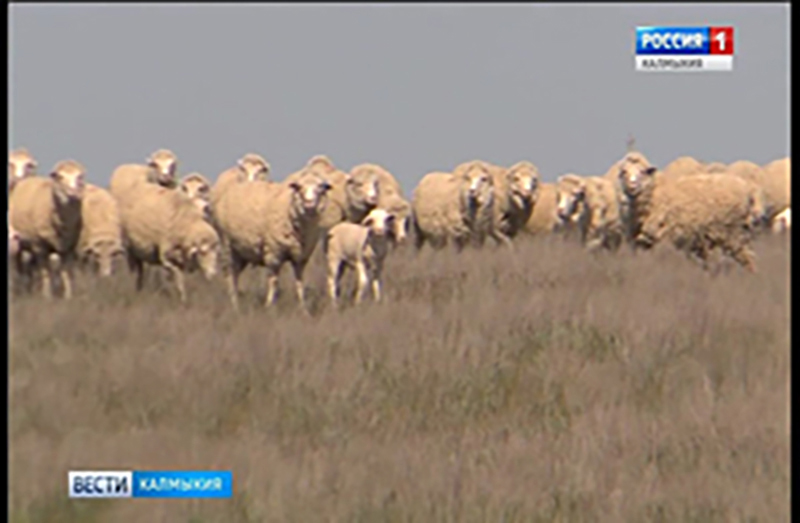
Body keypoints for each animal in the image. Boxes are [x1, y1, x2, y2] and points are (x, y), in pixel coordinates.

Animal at [8, 160, 86, 298]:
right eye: (60, 177)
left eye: (79, 176)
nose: (73, 193)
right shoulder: (40, 247)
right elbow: (46, 272)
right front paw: (47, 296)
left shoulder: (68, 248)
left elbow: (66, 272)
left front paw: (68, 296)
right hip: (19, 244)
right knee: (20, 267)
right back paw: (22, 289)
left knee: (31, 268)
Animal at [212, 170, 332, 314]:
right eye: (299, 187)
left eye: (320, 189)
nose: (309, 204)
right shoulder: (273, 253)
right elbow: (274, 281)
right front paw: (270, 307)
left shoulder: (301, 257)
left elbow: (299, 282)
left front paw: (304, 310)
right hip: (227, 245)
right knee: (230, 275)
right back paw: (234, 305)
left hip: (242, 252)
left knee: (235, 274)